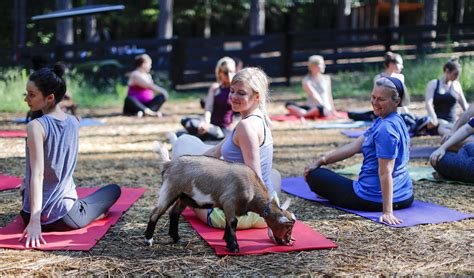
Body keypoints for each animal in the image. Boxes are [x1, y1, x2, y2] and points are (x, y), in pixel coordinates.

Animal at [143, 144, 296, 253]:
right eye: (288, 228)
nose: (287, 241)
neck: (252, 189)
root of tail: (169, 164)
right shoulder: (229, 201)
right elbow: (233, 223)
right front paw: (234, 247)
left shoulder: (230, 207)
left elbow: (230, 223)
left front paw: (228, 242)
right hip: (170, 190)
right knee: (155, 213)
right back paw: (148, 239)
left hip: (184, 197)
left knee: (174, 213)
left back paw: (177, 238)